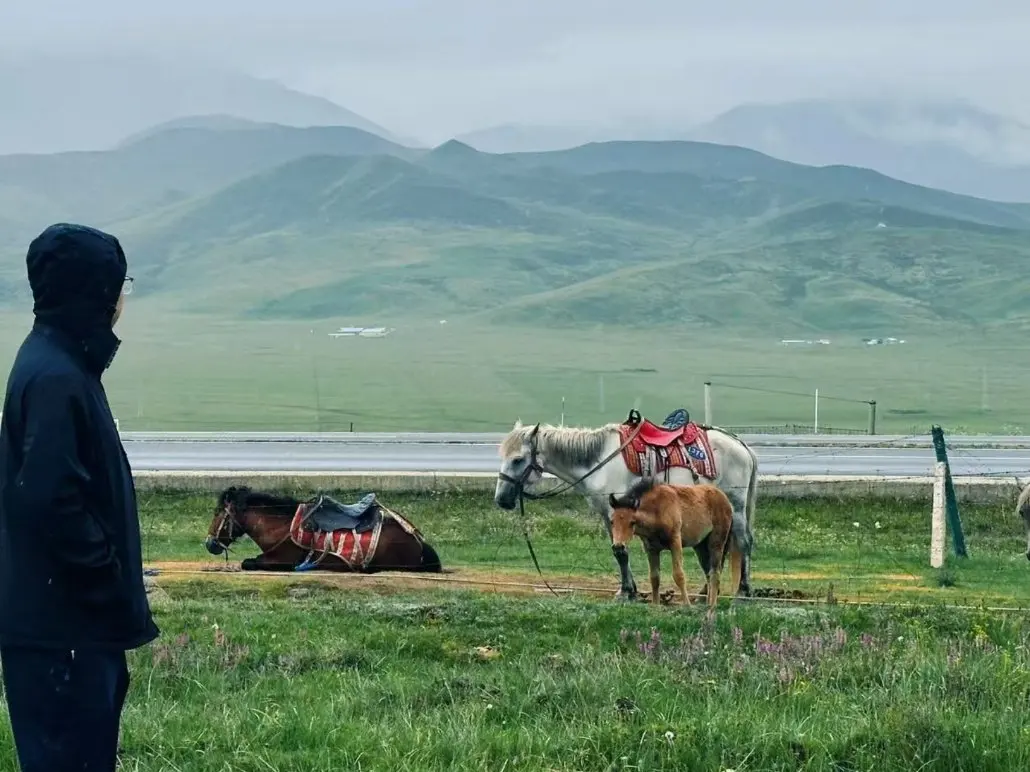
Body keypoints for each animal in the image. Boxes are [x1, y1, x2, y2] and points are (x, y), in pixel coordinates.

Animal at [204, 486, 443, 573]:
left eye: (217, 512)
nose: (209, 543)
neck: (280, 526)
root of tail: (418, 541)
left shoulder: (281, 559)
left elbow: (248, 562)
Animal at [608, 478, 742, 614]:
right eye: (612, 521)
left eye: (632, 522)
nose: (618, 547)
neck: (657, 510)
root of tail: (725, 499)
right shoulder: (651, 549)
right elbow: (654, 577)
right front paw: (655, 606)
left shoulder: (675, 543)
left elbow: (679, 575)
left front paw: (687, 606)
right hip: (700, 547)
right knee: (708, 573)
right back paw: (706, 604)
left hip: (717, 542)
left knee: (715, 573)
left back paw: (711, 606)